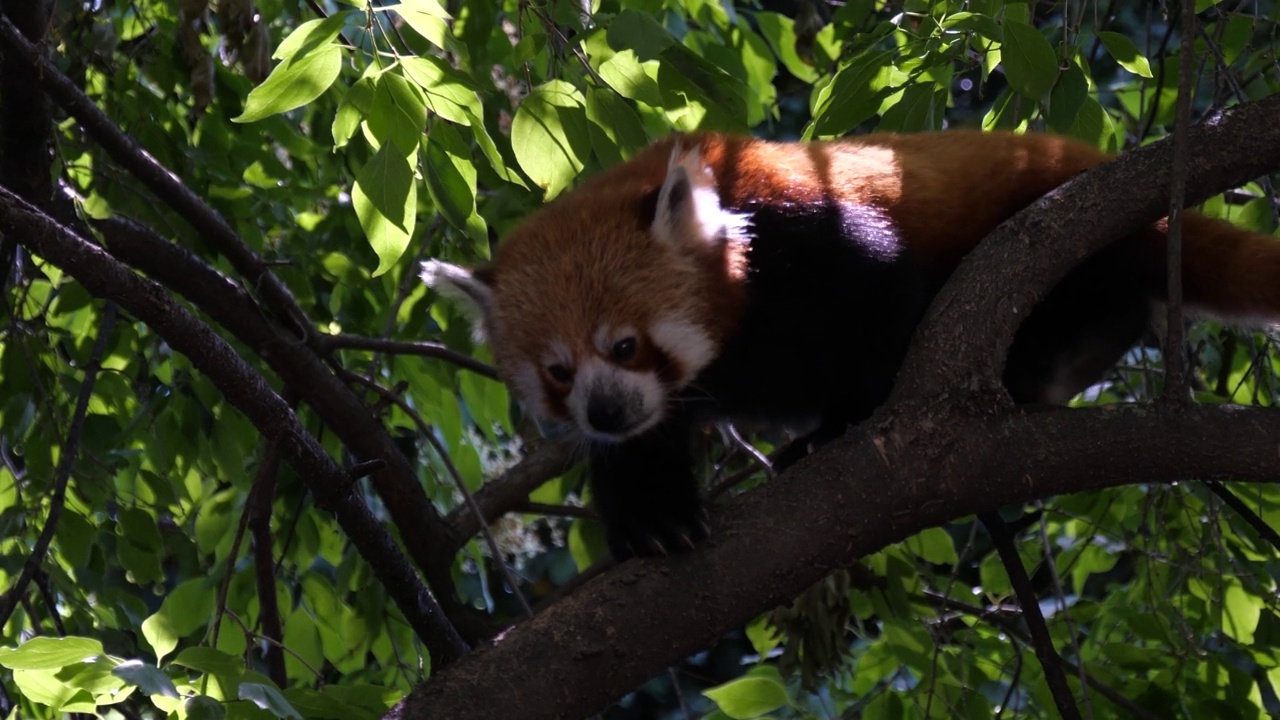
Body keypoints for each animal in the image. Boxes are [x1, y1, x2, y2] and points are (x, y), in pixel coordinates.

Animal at [422, 131, 1280, 558]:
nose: (604, 412)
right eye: (560, 372)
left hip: (1063, 236)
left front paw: (841, 427)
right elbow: (652, 442)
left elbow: (883, 313)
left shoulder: (806, 231)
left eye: (627, 346)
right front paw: (651, 515)